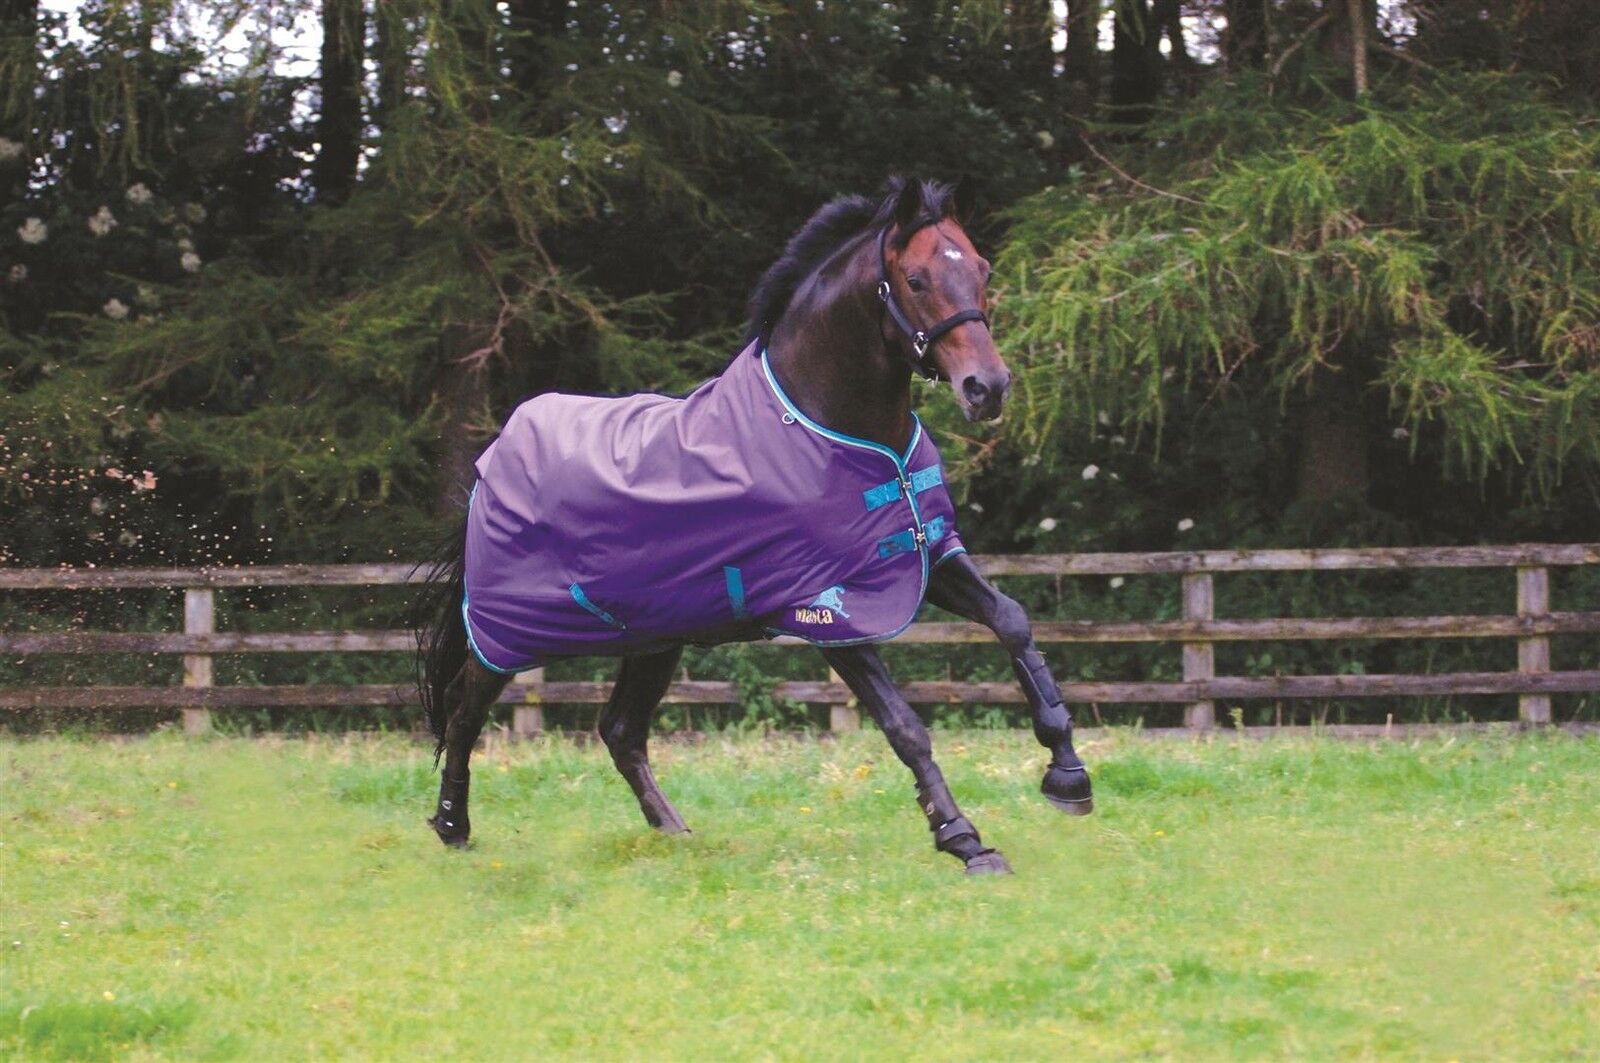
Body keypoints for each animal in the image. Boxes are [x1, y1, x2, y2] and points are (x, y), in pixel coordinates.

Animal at [413, 177, 1093, 875]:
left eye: (982, 270)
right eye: (916, 278)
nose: (988, 388)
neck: (837, 430)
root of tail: (493, 456)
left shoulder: (923, 557)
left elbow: (1012, 620)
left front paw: (1067, 774)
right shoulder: (831, 610)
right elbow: (904, 725)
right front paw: (965, 840)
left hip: (655, 635)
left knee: (620, 731)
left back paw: (674, 833)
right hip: (508, 633)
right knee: (464, 712)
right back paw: (452, 825)